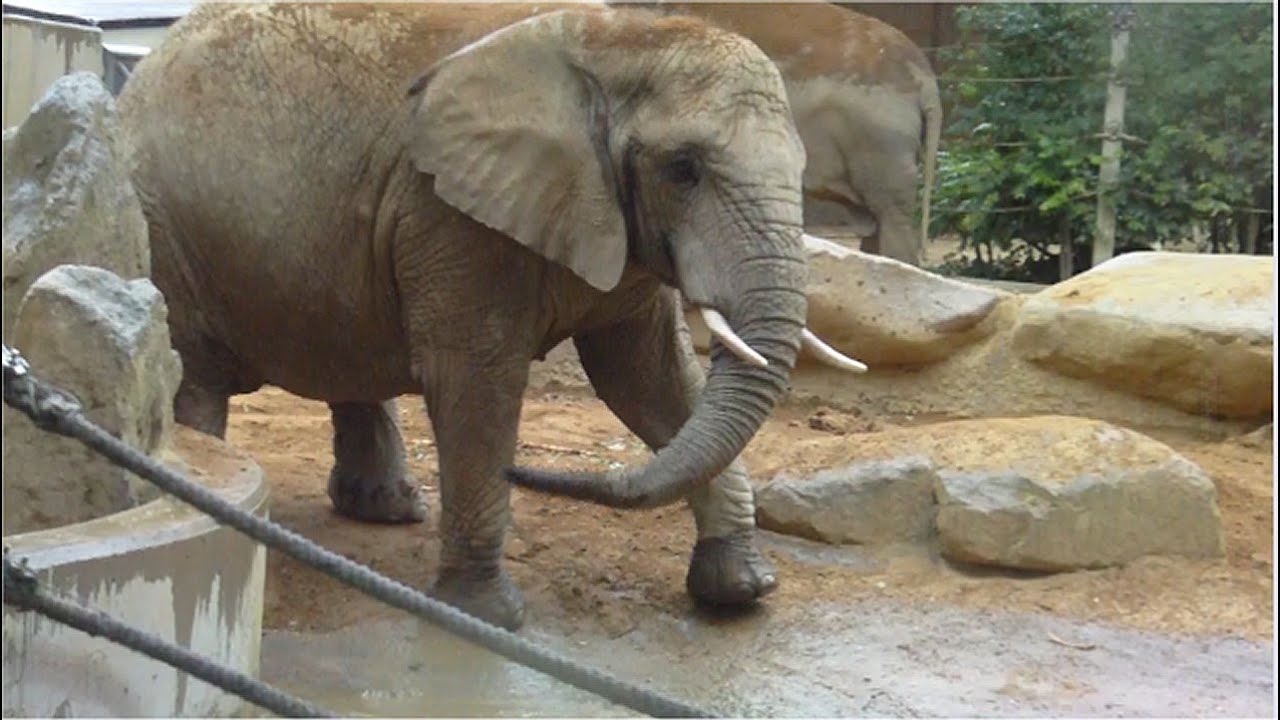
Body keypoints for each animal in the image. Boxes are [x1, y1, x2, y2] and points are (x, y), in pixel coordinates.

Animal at [117, 2, 863, 630]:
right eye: (684, 169)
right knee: (194, 373)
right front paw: (484, 618)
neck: (622, 38)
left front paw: (740, 591)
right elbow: (477, 381)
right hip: (161, 226)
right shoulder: (450, 216)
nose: (522, 473)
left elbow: (649, 378)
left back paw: (389, 512)